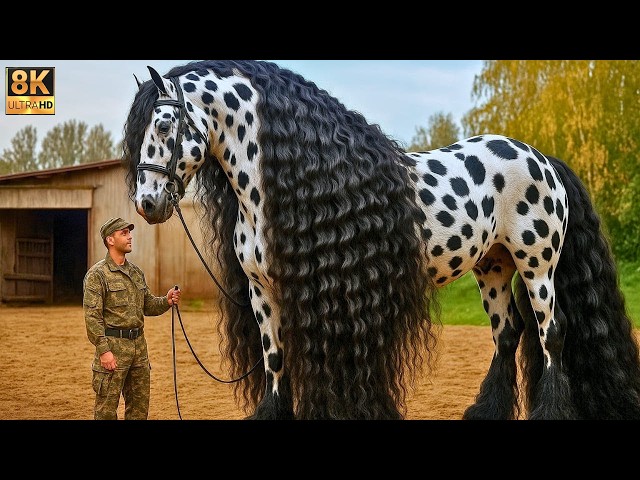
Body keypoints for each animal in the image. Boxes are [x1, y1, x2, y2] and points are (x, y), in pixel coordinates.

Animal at [121, 60, 640, 420]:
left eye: (163, 124)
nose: (147, 203)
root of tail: (541, 158)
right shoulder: (262, 292)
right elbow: (274, 359)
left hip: (537, 265)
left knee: (551, 335)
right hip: (493, 267)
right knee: (508, 334)